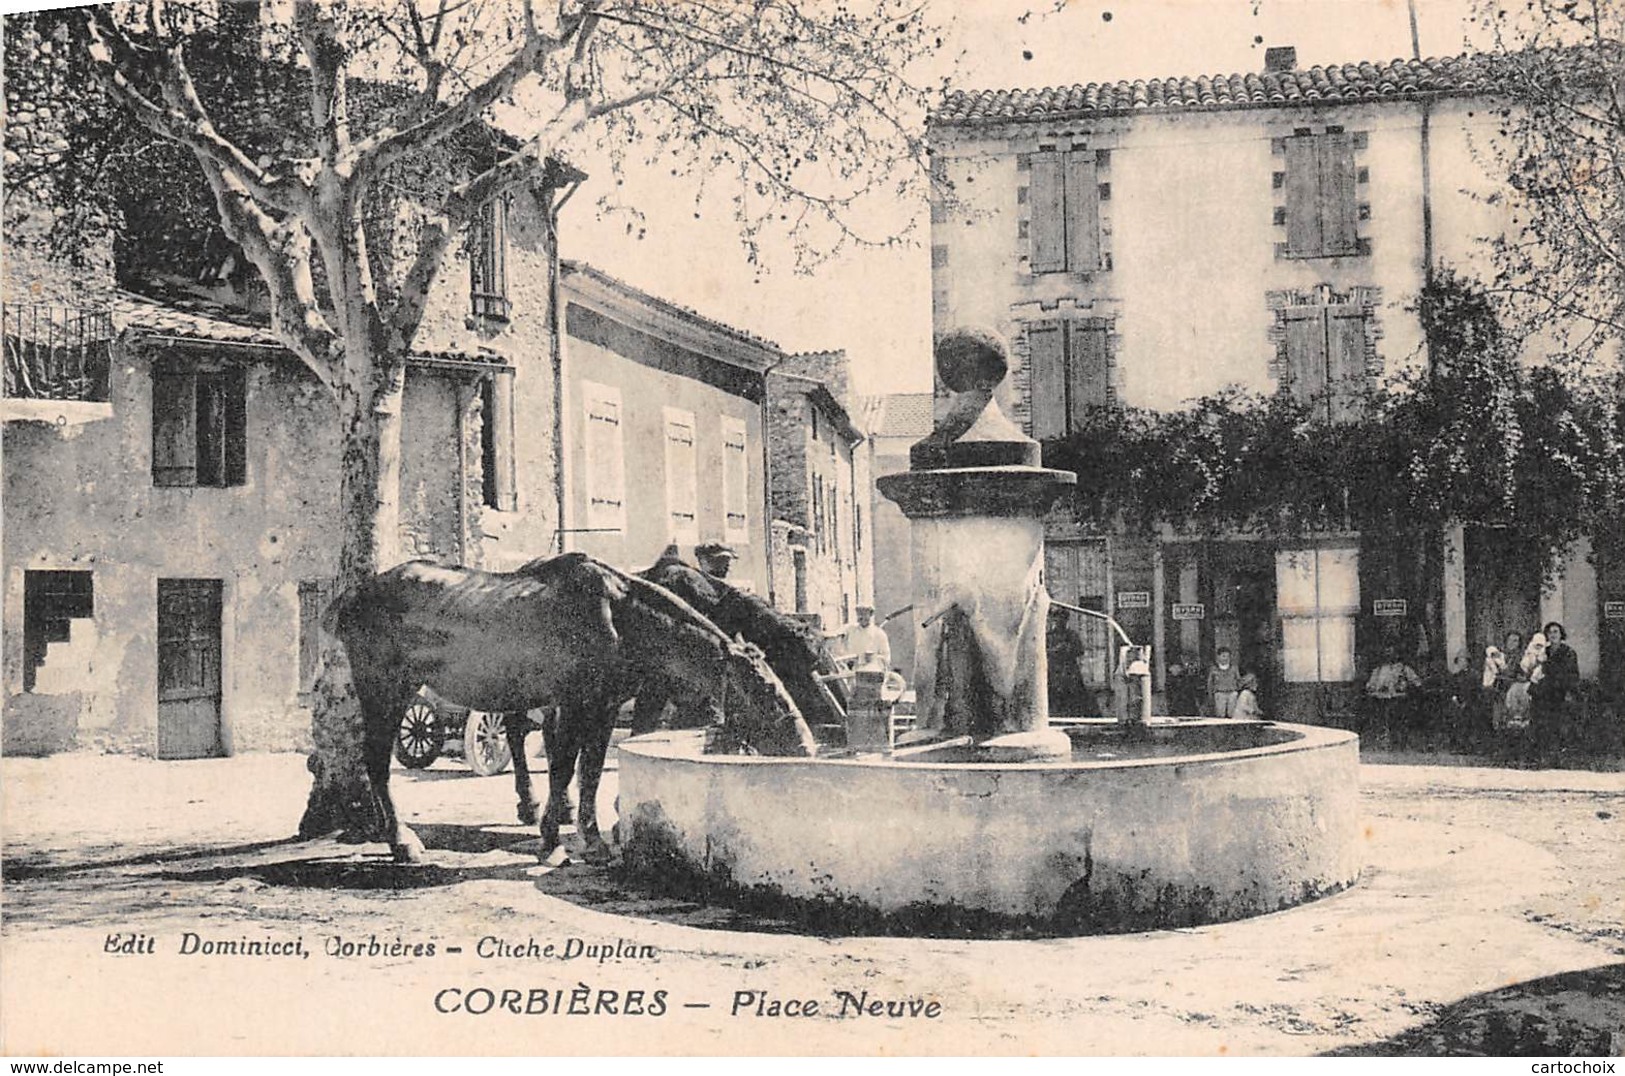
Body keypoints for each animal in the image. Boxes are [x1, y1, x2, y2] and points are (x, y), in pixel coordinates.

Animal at [331, 555, 819, 871]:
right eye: (762, 691)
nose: (807, 746)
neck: (622, 620)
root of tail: (351, 597)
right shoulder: (573, 701)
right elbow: (564, 767)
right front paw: (551, 842)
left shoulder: (603, 707)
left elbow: (592, 773)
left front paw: (594, 840)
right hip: (386, 688)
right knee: (376, 760)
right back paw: (402, 842)